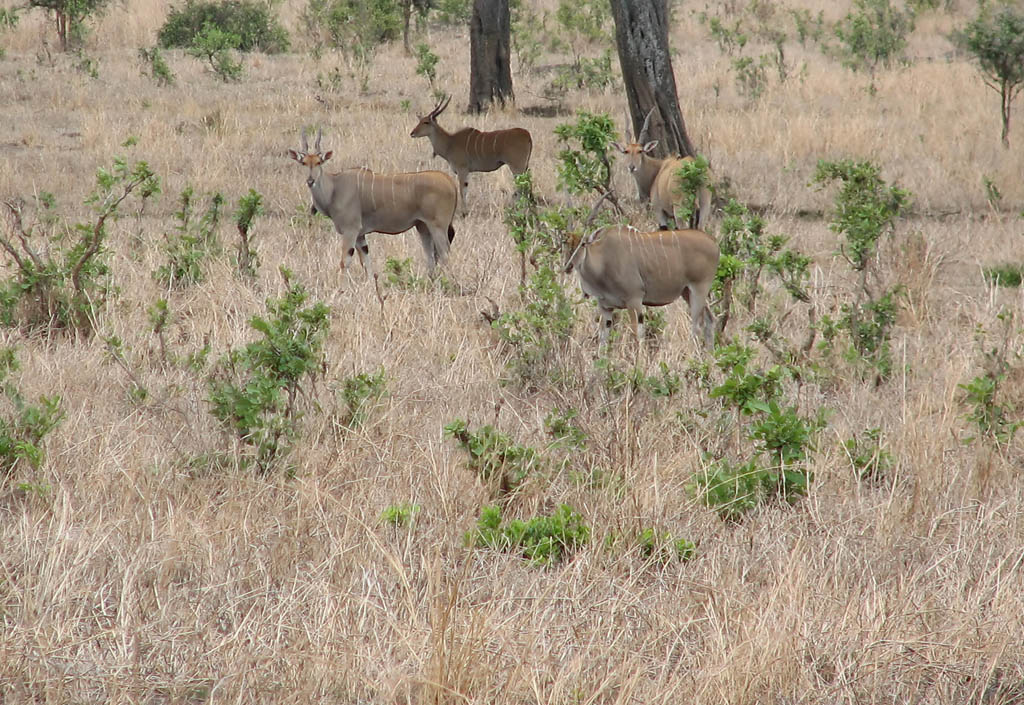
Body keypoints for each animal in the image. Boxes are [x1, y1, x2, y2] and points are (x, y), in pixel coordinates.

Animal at [292, 129, 460, 286]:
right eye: (304, 163)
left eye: (319, 162)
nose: (310, 181)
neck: (335, 187)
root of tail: (449, 181)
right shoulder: (360, 235)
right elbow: (366, 262)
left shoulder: (351, 230)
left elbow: (345, 261)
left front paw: (342, 288)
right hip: (422, 226)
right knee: (430, 256)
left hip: (437, 226)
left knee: (445, 254)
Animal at [561, 225, 720, 350]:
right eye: (566, 243)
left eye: (583, 244)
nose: (568, 266)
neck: (604, 258)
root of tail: (713, 241)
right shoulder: (606, 307)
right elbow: (603, 338)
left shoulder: (634, 300)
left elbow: (637, 334)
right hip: (687, 292)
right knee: (709, 320)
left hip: (699, 289)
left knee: (697, 326)